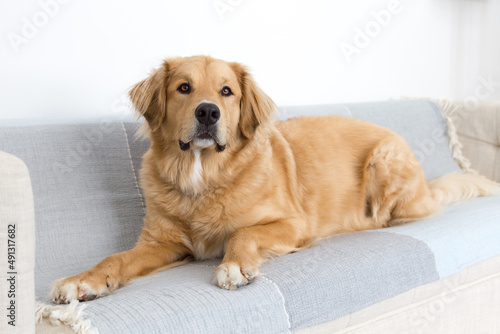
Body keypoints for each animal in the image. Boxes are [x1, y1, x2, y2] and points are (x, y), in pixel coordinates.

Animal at [51, 55, 500, 302]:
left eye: (227, 91)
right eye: (183, 87)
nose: (208, 112)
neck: (203, 178)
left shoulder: (293, 223)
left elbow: (242, 233)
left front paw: (235, 266)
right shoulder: (162, 245)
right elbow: (115, 258)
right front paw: (83, 281)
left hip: (384, 161)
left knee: (394, 215)